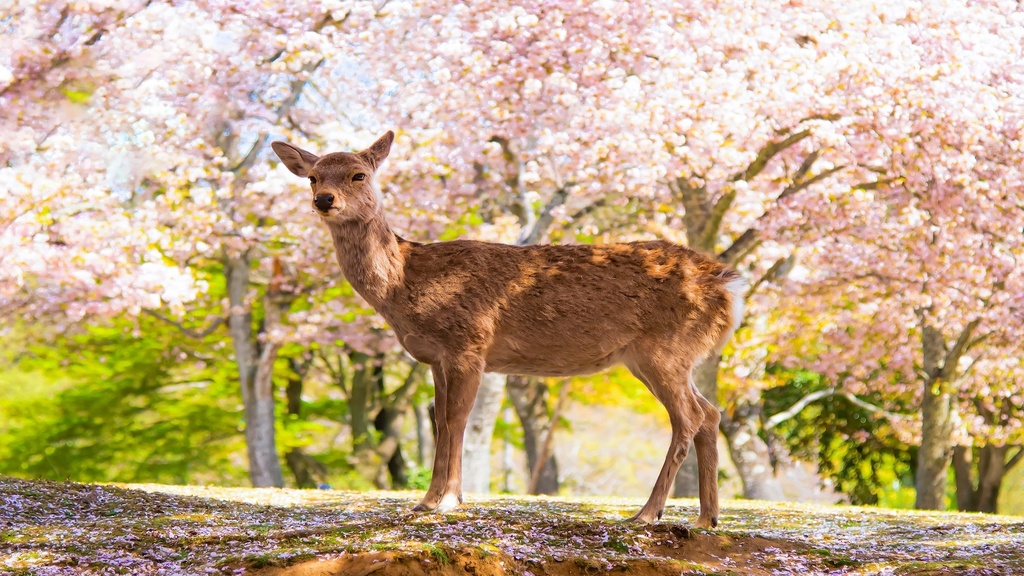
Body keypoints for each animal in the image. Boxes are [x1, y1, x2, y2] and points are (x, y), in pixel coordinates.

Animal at [272, 131, 746, 528]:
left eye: (359, 174)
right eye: (313, 177)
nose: (325, 199)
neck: (407, 283)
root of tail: (727, 286)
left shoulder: (469, 342)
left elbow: (457, 419)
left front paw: (446, 501)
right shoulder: (435, 357)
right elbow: (440, 420)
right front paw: (427, 500)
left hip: (664, 349)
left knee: (689, 417)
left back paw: (647, 513)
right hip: (665, 357)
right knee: (710, 413)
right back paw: (706, 518)